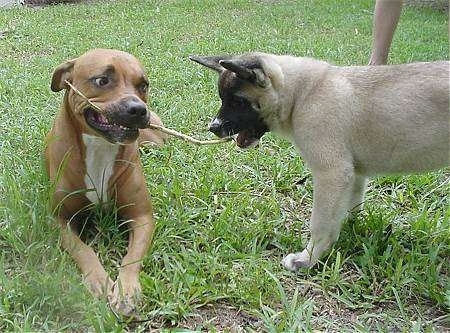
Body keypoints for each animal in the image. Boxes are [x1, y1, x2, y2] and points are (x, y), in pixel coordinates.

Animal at [45, 48, 167, 314]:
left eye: (143, 85)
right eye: (102, 80)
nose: (139, 109)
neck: (100, 146)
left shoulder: (142, 217)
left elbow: (132, 257)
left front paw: (126, 289)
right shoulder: (60, 219)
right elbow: (83, 249)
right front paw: (98, 280)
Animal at [191, 52, 450, 270]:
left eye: (239, 102)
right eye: (223, 99)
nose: (213, 128)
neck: (301, 95)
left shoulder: (331, 173)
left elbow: (320, 222)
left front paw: (308, 258)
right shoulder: (353, 174)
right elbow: (351, 205)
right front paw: (350, 231)